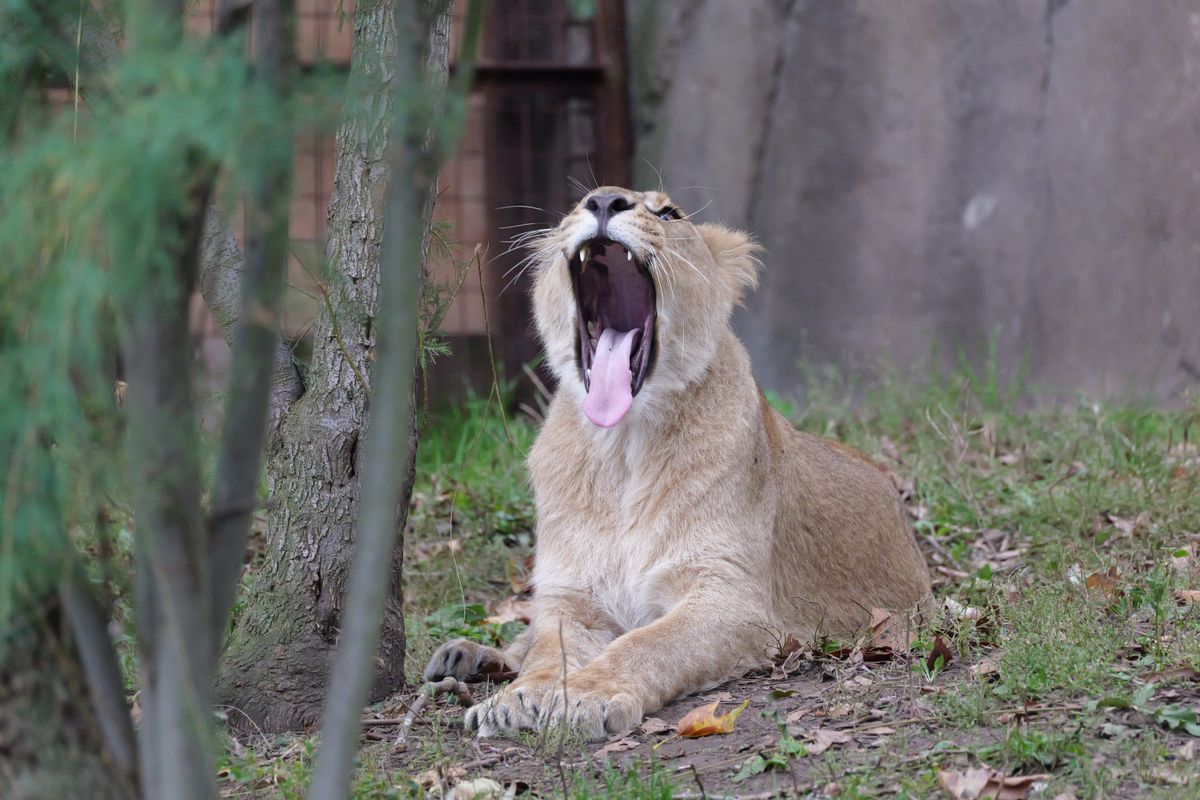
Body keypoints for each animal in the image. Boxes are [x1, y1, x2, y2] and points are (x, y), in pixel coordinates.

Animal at [423, 187, 932, 740]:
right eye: (580, 201)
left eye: (668, 213)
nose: (605, 199)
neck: (623, 448)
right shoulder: (570, 597)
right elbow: (546, 649)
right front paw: (519, 698)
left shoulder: (732, 599)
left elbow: (646, 643)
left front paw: (585, 696)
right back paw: (466, 656)